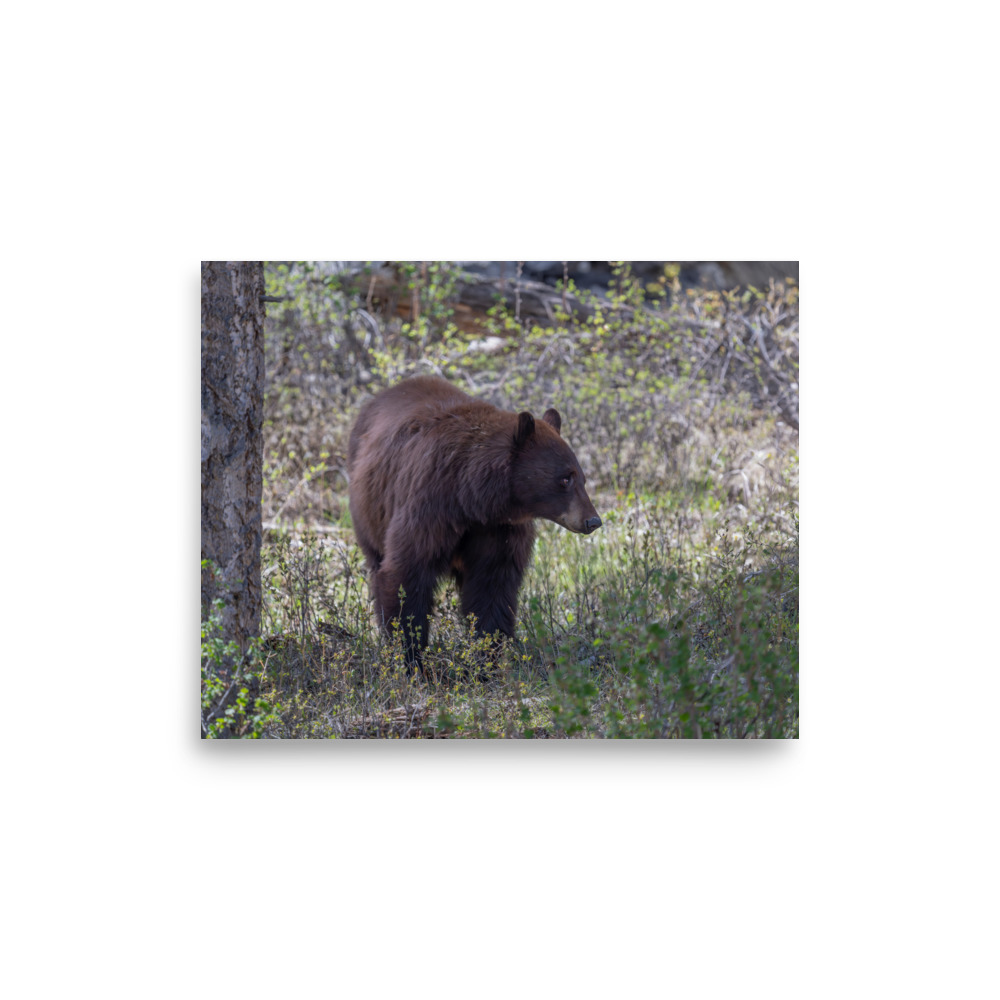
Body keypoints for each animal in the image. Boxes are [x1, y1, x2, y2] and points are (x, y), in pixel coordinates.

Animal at [346, 375, 601, 667]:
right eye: (565, 478)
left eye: (582, 477)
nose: (593, 520)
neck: (472, 499)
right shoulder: (429, 507)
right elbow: (406, 574)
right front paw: (412, 658)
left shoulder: (499, 530)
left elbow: (492, 588)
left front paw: (485, 660)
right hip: (368, 513)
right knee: (377, 563)